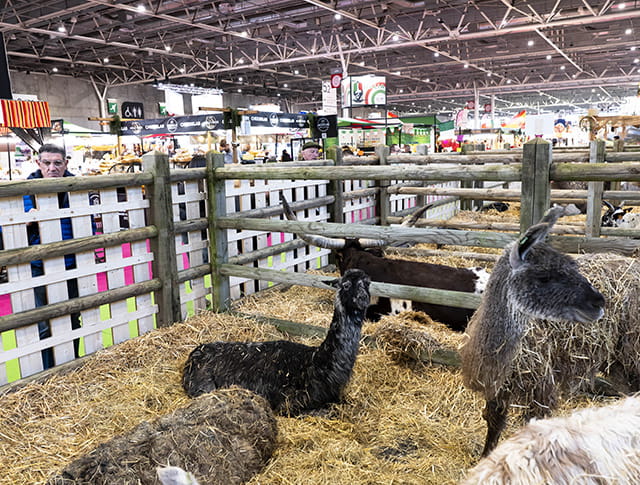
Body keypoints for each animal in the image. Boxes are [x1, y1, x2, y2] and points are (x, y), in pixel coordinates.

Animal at [180, 266, 370, 414]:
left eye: (368, 283)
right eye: (346, 285)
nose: (363, 298)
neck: (319, 364)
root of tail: (195, 353)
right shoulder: (288, 403)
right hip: (203, 386)